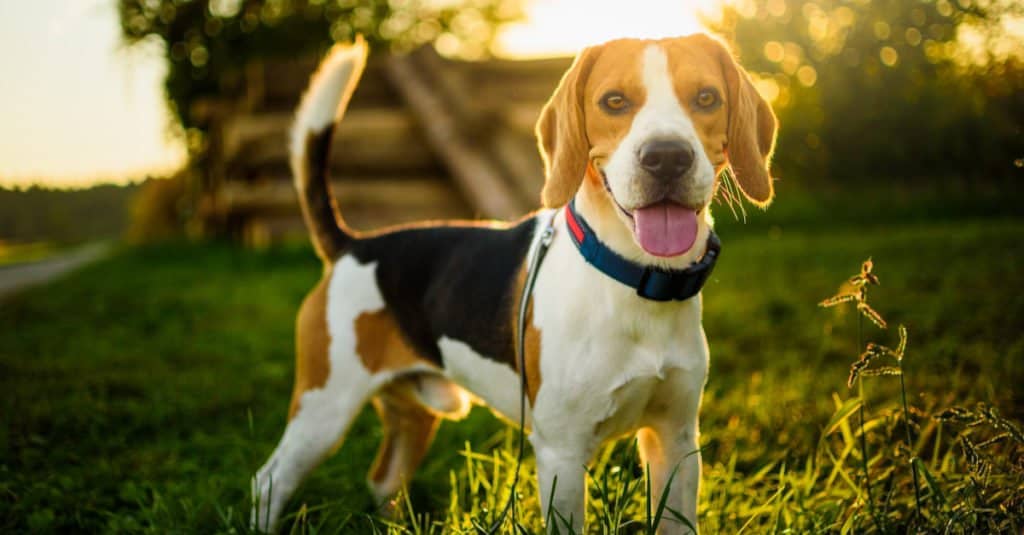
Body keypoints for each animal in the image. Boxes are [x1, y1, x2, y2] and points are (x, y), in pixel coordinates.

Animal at [251, 34, 770, 532]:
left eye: (707, 97)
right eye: (615, 101)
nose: (666, 157)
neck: (635, 281)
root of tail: (353, 244)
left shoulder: (676, 442)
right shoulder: (561, 453)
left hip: (413, 414)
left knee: (383, 480)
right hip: (324, 408)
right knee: (268, 481)